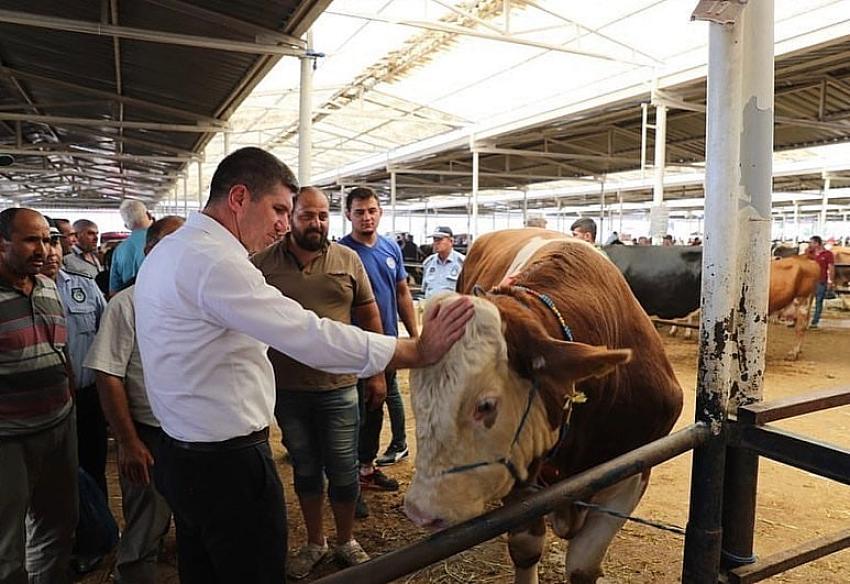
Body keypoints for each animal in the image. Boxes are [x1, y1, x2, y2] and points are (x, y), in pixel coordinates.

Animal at [404, 228, 684, 584]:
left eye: (486, 406)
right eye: (418, 400)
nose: (420, 512)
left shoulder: (635, 468)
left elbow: (582, 565)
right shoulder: (519, 466)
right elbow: (526, 547)